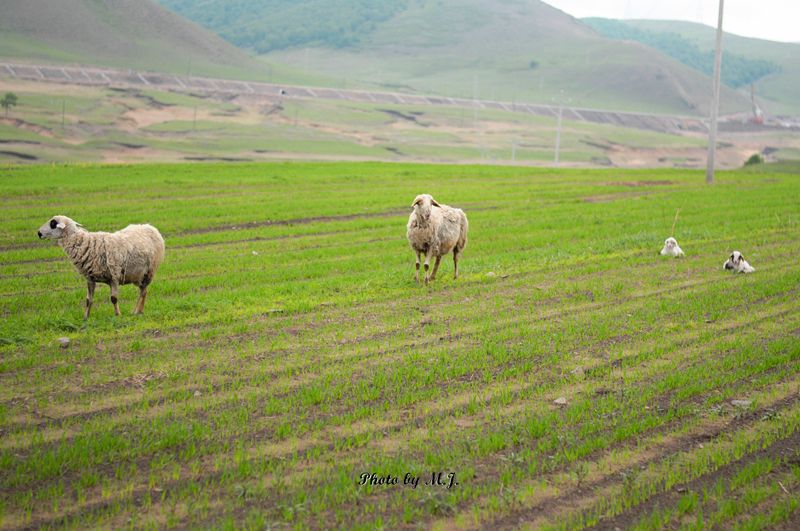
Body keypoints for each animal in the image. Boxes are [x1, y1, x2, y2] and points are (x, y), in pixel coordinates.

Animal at [36, 215, 165, 318]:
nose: (39, 233)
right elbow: (88, 300)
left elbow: (113, 298)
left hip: (149, 271)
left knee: (143, 292)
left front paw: (118, 315)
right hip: (137, 275)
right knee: (144, 291)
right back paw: (139, 311)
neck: (85, 243)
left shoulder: (114, 276)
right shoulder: (90, 279)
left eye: (53, 224)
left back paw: (136, 311)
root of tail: (151, 228)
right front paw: (85, 317)